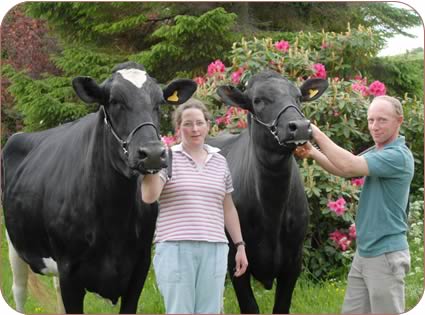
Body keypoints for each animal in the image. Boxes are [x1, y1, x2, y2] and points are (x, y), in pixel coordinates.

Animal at [0, 61, 196, 314]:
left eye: (159, 102)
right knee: (19, 290)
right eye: (114, 101)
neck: (114, 219)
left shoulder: (139, 268)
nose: (153, 153)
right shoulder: (69, 270)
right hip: (14, 243)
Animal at [207, 70, 326, 314]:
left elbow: (281, 307)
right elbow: (250, 307)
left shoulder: (293, 261)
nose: (300, 126)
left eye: (298, 97)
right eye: (258, 100)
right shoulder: (235, 259)